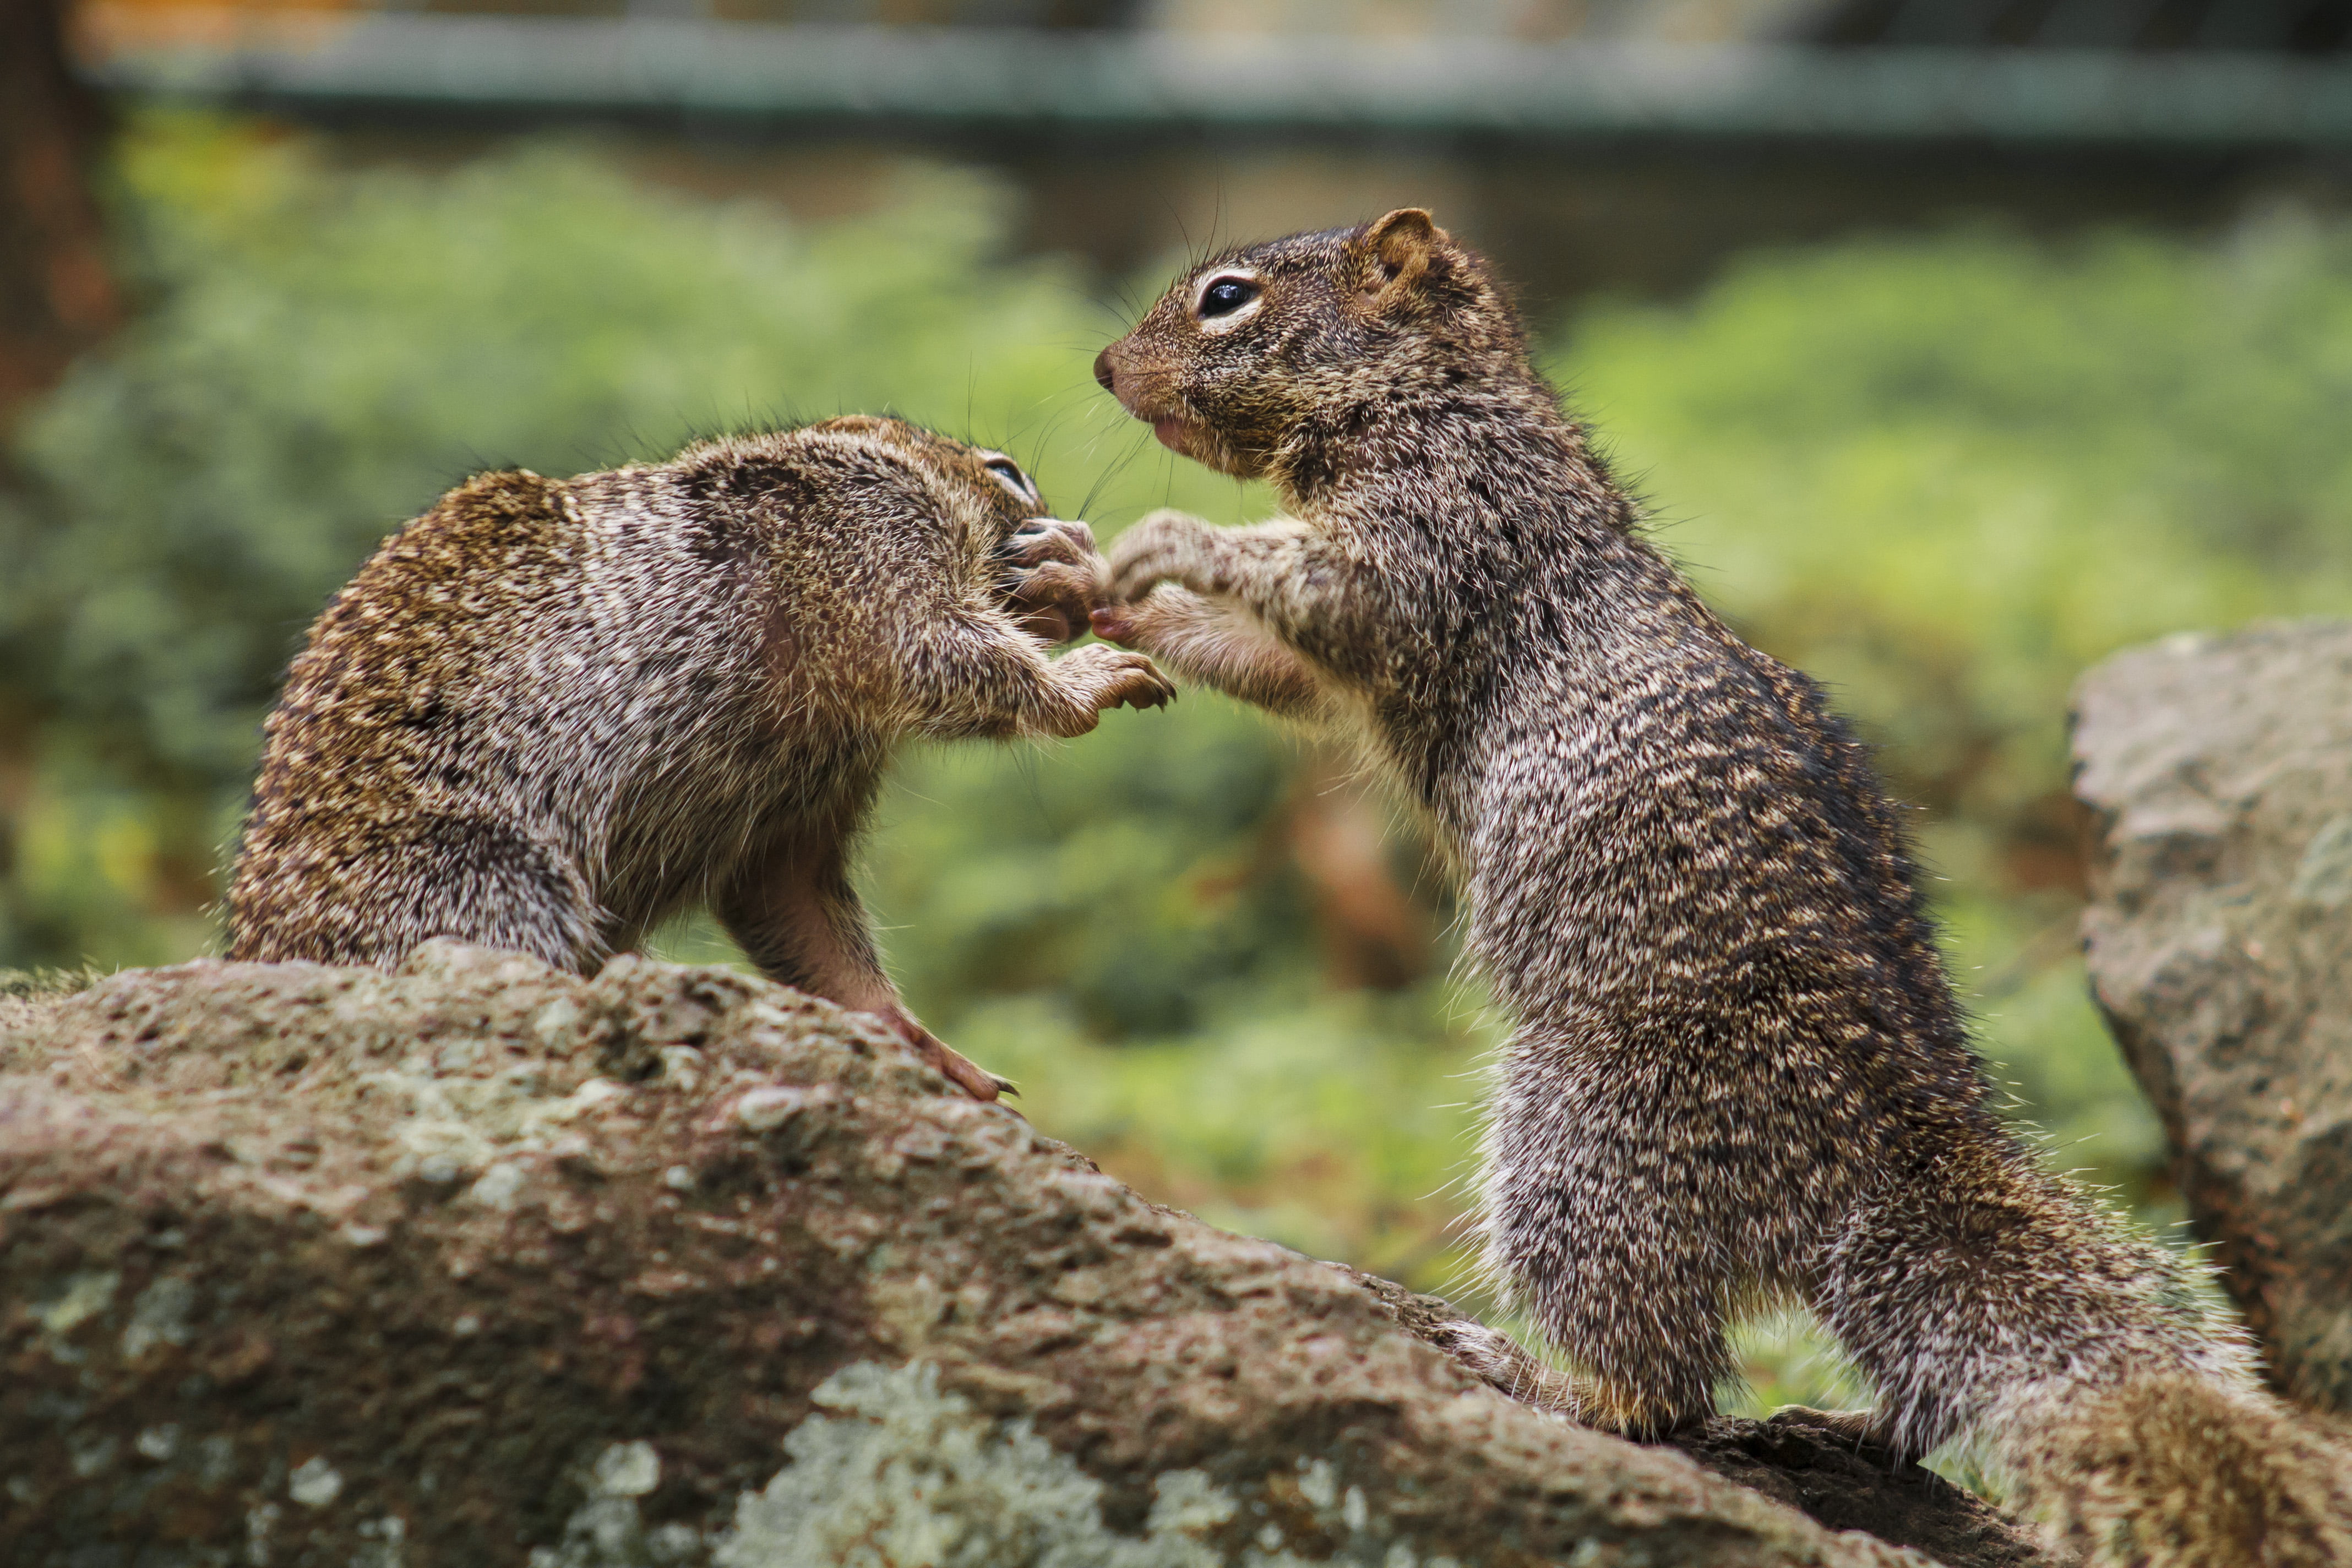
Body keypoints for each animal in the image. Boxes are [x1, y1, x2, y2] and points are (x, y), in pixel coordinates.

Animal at [225, 415, 1172, 1103]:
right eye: (1008, 475)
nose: (1068, 541)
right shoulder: (870, 536)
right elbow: (942, 648)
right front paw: (1090, 675)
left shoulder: (802, 808)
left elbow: (804, 917)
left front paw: (919, 1044)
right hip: (487, 884)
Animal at [1091, 211, 2352, 1562]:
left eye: (1229, 296)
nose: (1106, 369)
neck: (1435, 394)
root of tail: (1876, 1150)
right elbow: (1273, 664)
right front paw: (1101, 597)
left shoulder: (1447, 523)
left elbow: (1325, 591)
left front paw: (1165, 545)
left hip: (1577, 1148)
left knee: (1663, 1387)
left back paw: (1542, 1378)